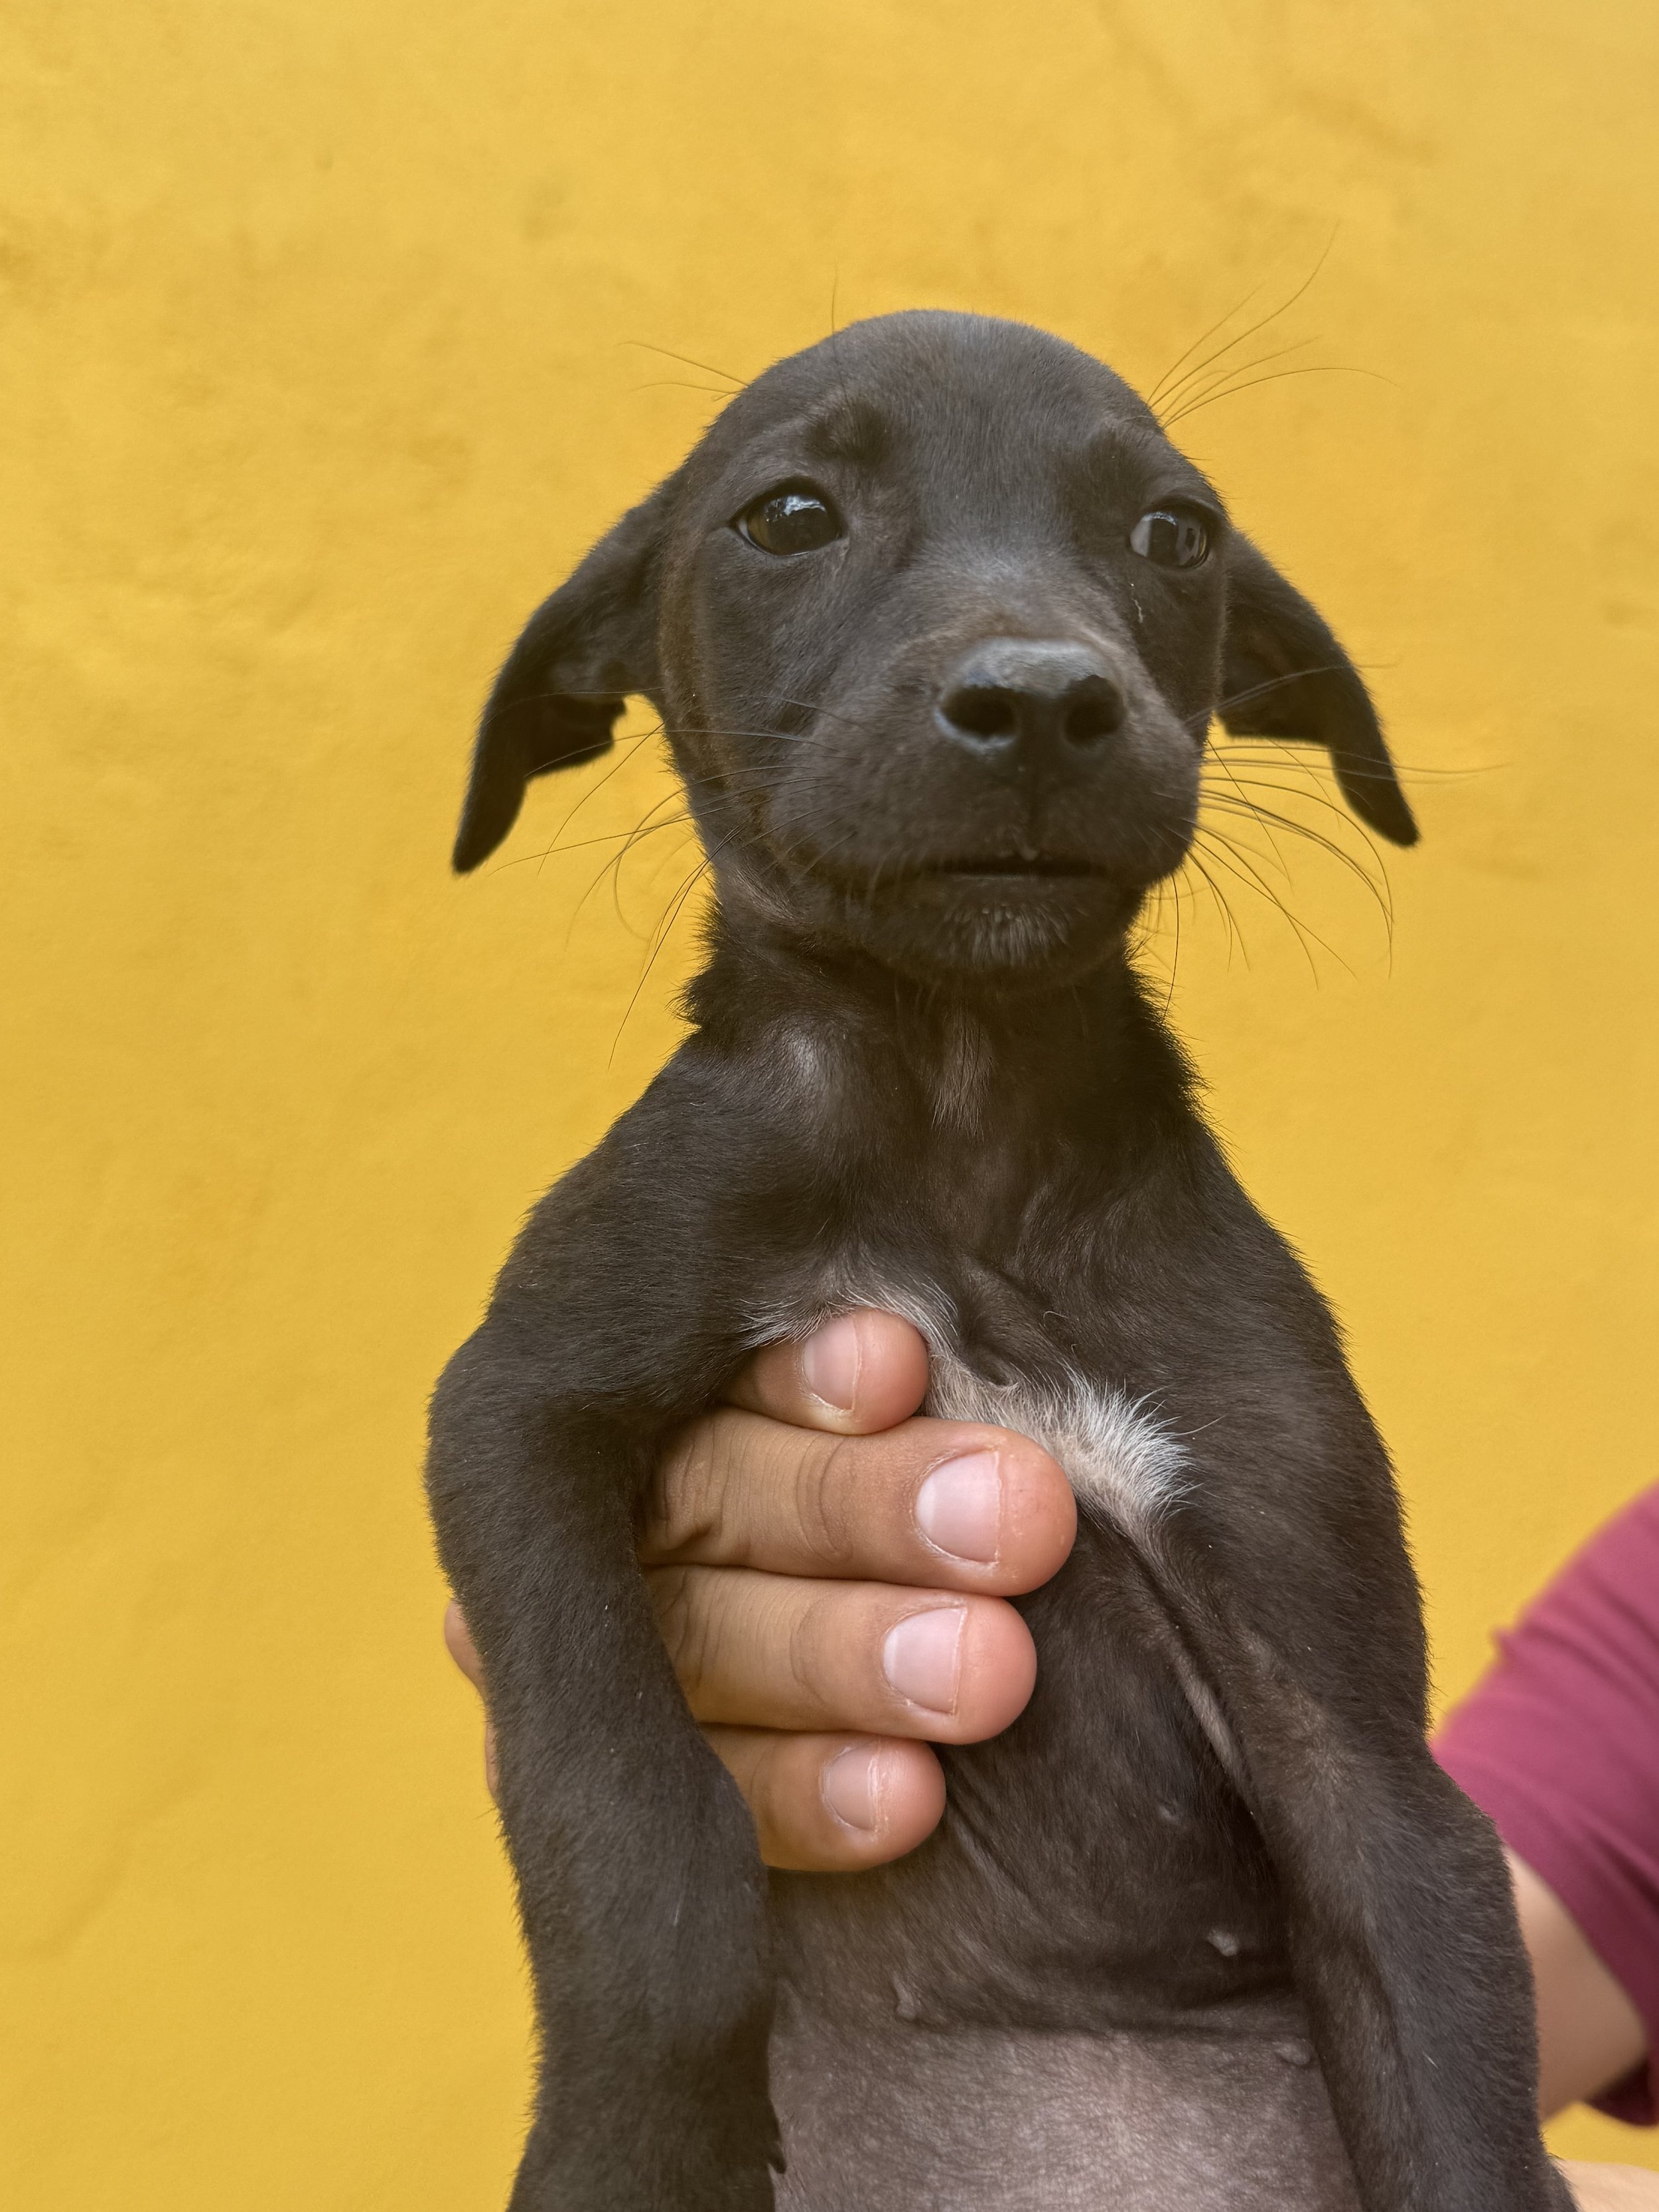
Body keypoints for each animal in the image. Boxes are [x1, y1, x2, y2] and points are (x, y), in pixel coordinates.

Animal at [428, 311, 1569, 2212]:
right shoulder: (518, 1411)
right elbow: (643, 1837)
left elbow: (1447, 2003)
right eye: (789, 514)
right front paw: (637, 2138)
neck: (956, 1113)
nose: (1039, 699)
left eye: (1175, 531)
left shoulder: (1340, 1713)